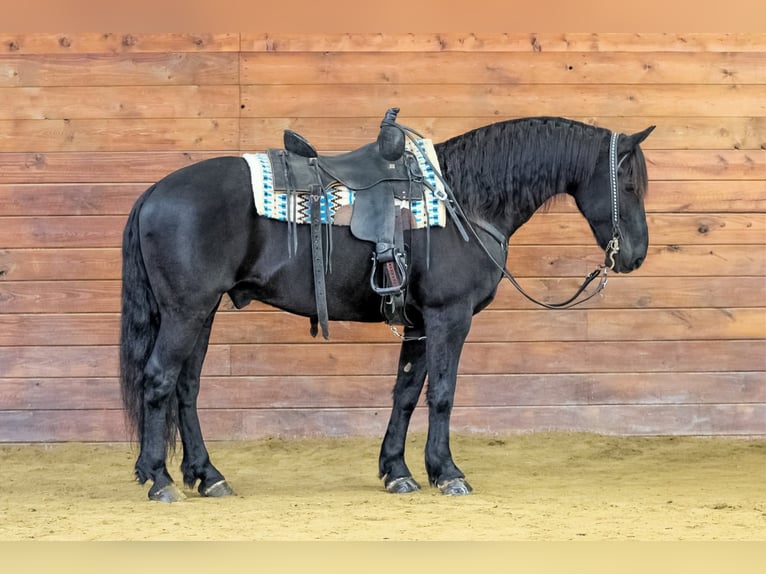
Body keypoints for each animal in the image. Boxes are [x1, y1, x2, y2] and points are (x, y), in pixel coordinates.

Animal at [119, 115, 654, 502]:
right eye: (628, 185)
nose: (635, 255)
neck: (463, 201)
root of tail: (155, 192)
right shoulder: (448, 316)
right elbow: (442, 394)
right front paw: (447, 472)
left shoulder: (418, 322)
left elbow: (406, 393)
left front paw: (397, 470)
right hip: (187, 311)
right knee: (159, 380)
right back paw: (160, 479)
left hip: (202, 312)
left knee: (186, 389)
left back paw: (207, 475)